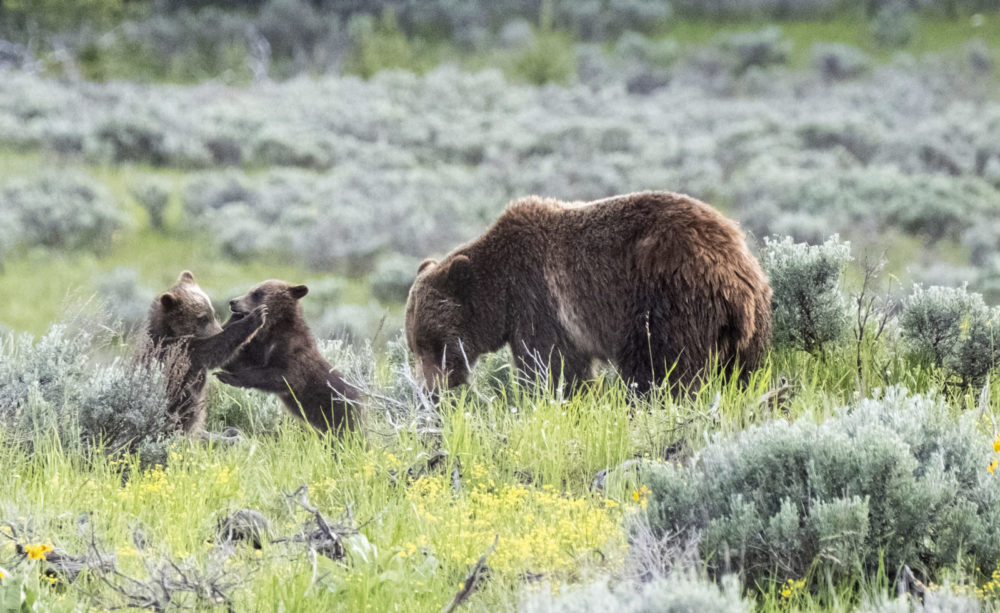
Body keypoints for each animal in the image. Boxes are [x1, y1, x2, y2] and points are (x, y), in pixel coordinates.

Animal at [146, 270, 268, 432]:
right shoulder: (182, 353)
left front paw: (238, 315)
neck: (173, 332)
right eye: (202, 318)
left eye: (212, 312)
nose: (218, 330)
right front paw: (256, 315)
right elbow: (215, 349)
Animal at [215, 280, 364, 432]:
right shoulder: (259, 348)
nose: (233, 302)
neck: (273, 329)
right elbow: (235, 359)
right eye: (252, 290)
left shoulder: (292, 352)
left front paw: (227, 377)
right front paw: (234, 320)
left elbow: (283, 376)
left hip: (339, 411)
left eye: (257, 293)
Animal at [406, 189, 772, 394]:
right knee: (744, 370)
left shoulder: (540, 301)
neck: (502, 295)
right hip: (751, 322)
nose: (428, 391)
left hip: (667, 301)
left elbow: (551, 366)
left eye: (436, 343)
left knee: (660, 367)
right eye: (415, 345)